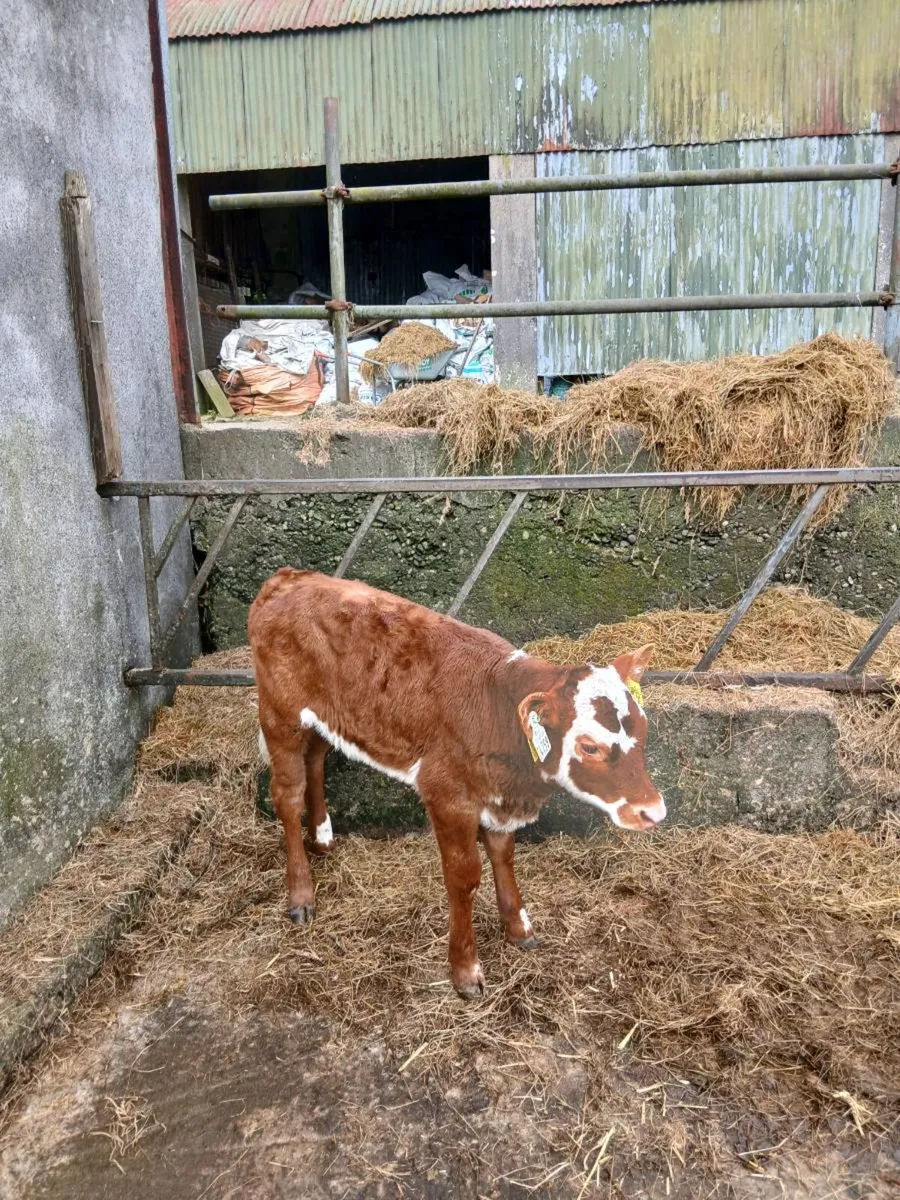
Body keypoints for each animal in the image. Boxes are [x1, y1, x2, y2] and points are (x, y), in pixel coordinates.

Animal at [249, 568, 665, 999]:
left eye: (644, 729)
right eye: (589, 746)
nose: (652, 810)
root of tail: (289, 578)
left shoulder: (498, 797)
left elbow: (504, 855)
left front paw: (519, 928)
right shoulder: (447, 795)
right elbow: (464, 877)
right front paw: (465, 969)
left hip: (322, 717)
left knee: (315, 760)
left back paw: (323, 838)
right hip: (279, 713)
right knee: (286, 795)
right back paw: (301, 894)